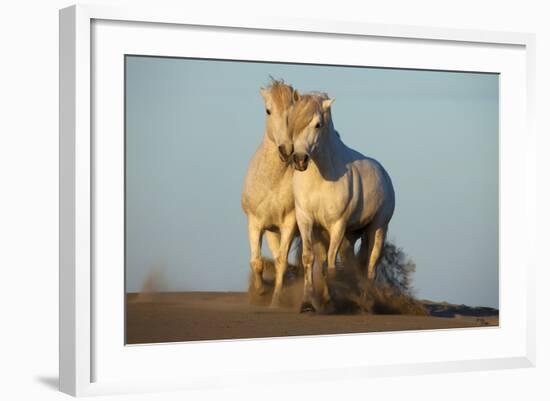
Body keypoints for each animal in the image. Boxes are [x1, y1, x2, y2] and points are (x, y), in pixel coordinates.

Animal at [288, 92, 396, 310]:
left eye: (318, 124)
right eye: (293, 121)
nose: (300, 160)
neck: (320, 178)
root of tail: (384, 174)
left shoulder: (337, 225)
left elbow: (330, 262)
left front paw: (331, 301)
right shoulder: (306, 220)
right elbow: (310, 259)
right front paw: (308, 302)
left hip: (378, 229)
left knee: (370, 267)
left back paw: (365, 304)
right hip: (350, 236)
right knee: (353, 264)